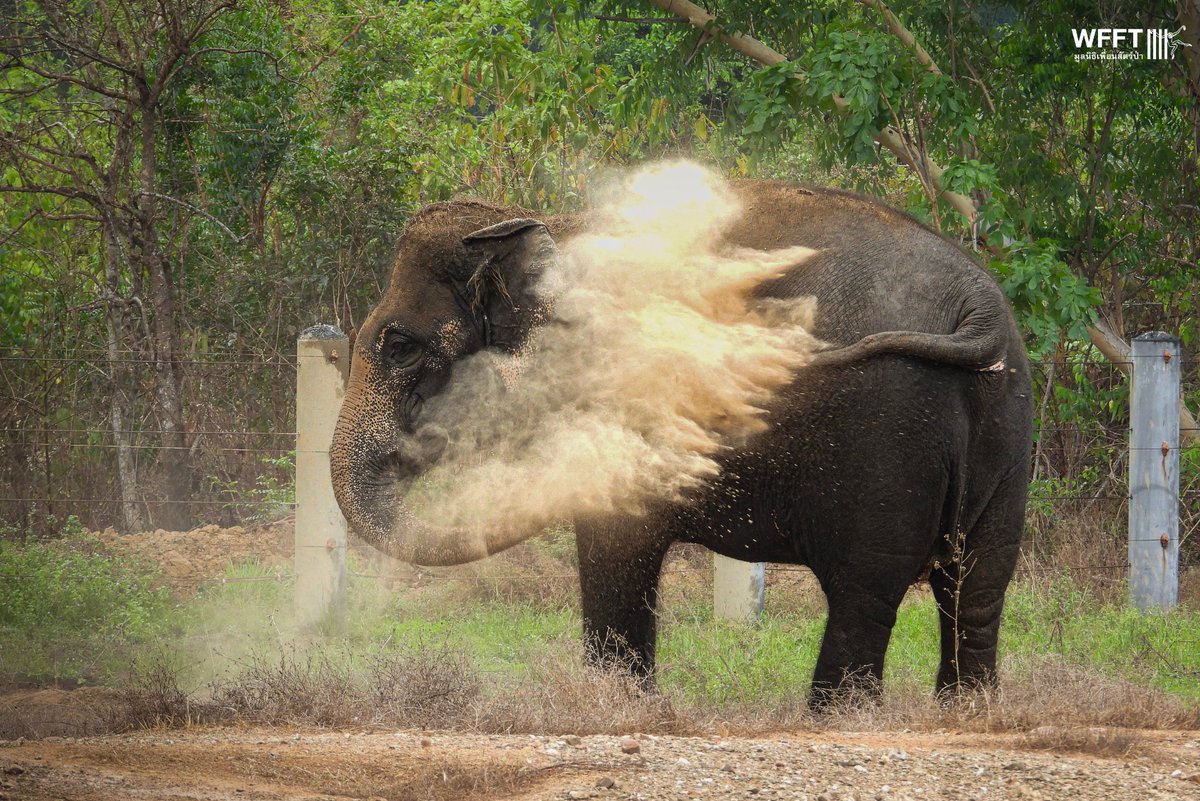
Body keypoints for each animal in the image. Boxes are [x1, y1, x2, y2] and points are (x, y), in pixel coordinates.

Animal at [329, 178, 1034, 707]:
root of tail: (978, 304)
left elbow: (615, 540)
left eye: (400, 346)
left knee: (864, 591)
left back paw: (834, 718)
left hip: (887, 434)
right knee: (977, 585)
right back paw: (964, 712)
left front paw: (616, 707)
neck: (547, 224)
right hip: (1007, 431)